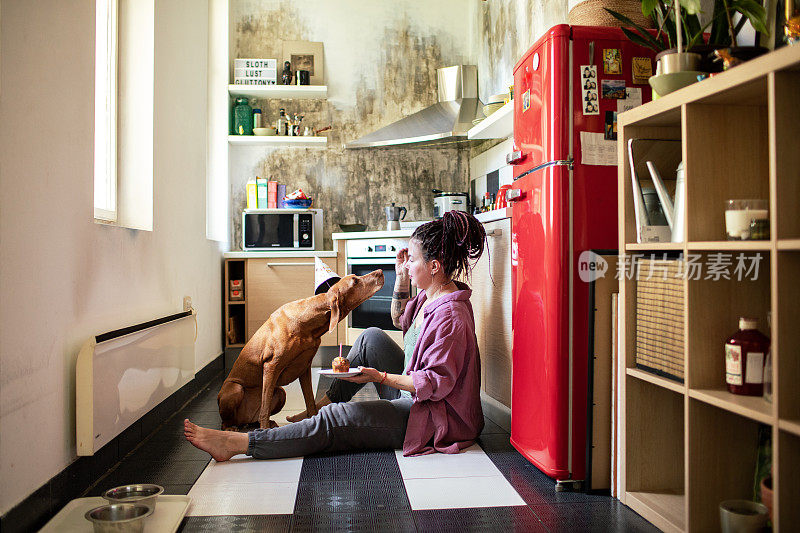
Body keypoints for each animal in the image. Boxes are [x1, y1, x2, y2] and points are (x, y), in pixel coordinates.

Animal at [217, 268, 382, 430]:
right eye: (355, 281)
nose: (380, 271)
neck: (307, 323)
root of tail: (245, 420)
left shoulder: (304, 368)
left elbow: (310, 402)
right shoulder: (271, 366)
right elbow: (265, 407)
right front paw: (264, 430)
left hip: (280, 392)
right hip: (235, 388)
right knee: (228, 420)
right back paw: (234, 427)